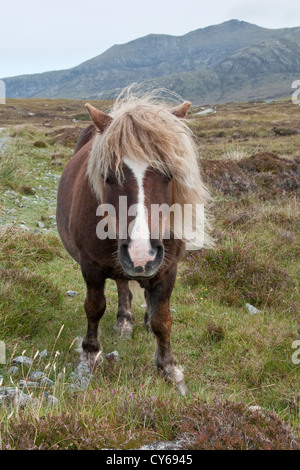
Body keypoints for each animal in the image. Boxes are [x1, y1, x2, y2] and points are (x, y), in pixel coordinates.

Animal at [56, 90, 211, 394]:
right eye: (107, 176)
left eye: (169, 173)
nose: (142, 256)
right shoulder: (90, 266)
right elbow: (94, 307)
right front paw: (90, 353)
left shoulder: (168, 268)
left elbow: (163, 319)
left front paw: (169, 369)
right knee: (121, 285)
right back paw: (124, 321)